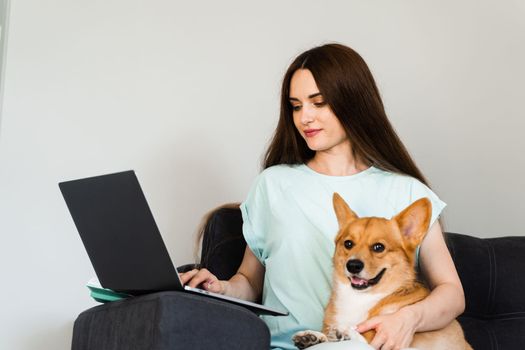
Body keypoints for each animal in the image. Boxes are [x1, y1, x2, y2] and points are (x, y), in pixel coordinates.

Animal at [294, 193, 470, 348]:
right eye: (348, 244)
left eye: (378, 247)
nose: (353, 265)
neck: (360, 298)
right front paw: (313, 337)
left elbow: (364, 336)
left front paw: (345, 333)